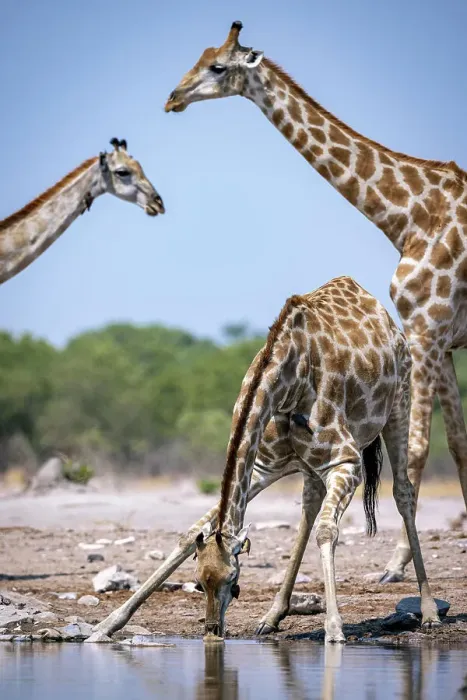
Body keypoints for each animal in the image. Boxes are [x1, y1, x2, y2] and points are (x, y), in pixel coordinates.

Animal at [91, 277, 440, 643]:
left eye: (232, 579)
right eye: (199, 583)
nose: (213, 631)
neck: (287, 379)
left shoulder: (346, 462)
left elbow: (327, 532)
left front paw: (334, 631)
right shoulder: (262, 467)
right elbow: (190, 534)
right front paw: (106, 625)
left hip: (399, 405)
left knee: (402, 492)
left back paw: (429, 612)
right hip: (309, 465)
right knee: (309, 506)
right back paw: (272, 616)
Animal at [165, 21, 467, 582]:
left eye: (217, 66)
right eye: (198, 56)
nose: (173, 97)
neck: (410, 215)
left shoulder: (427, 328)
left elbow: (421, 449)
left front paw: (396, 566)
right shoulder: (438, 337)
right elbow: (457, 444)